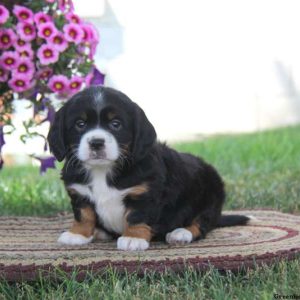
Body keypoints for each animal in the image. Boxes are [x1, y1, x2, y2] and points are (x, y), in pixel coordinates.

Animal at [48, 86, 250, 251]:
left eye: (116, 124)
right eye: (80, 124)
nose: (96, 142)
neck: (103, 170)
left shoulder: (144, 193)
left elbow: (137, 215)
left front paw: (133, 238)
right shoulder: (79, 193)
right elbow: (84, 215)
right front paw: (78, 234)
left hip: (210, 196)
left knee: (202, 223)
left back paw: (181, 233)